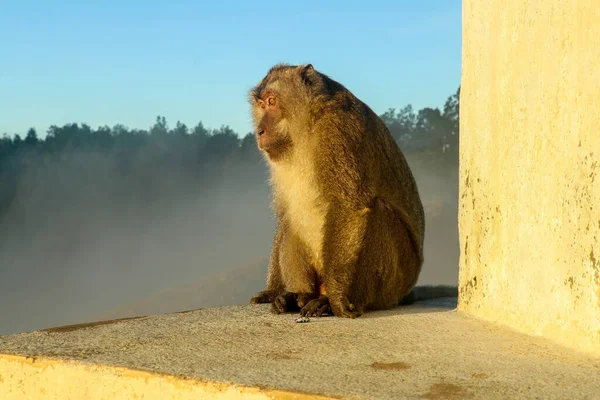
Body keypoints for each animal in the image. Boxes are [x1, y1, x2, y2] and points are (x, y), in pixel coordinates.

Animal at [246, 63, 458, 318]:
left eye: (272, 101)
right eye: (261, 104)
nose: (259, 131)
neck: (309, 124)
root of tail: (405, 292)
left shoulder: (340, 130)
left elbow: (349, 206)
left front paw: (337, 298)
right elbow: (285, 212)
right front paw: (272, 290)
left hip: (394, 283)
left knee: (380, 213)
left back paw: (329, 300)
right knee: (292, 219)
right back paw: (297, 295)